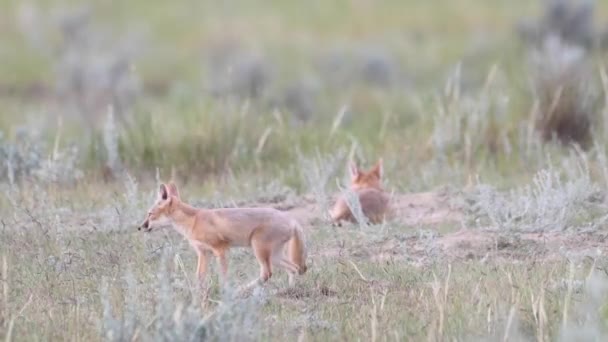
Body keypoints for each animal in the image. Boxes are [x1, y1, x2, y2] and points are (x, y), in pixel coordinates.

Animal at [140, 183, 306, 288]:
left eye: (150, 214)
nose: (140, 227)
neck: (194, 220)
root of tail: (292, 220)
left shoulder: (221, 249)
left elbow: (223, 276)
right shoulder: (203, 253)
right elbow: (199, 277)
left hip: (259, 251)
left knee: (267, 274)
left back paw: (242, 290)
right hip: (274, 256)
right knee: (294, 268)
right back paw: (289, 290)